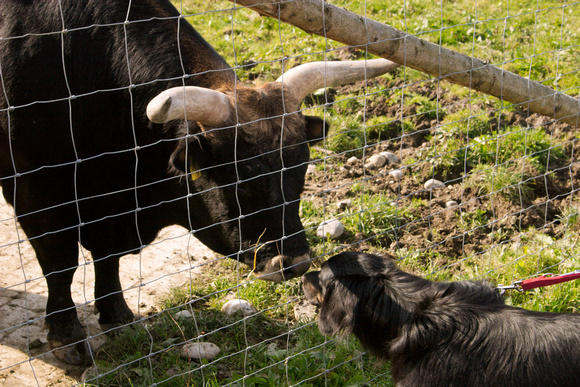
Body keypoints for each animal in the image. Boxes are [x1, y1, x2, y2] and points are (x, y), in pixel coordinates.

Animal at [0, 0, 398, 366]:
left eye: (301, 170)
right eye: (241, 179)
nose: (296, 262)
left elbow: (107, 259)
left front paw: (119, 317)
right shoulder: (37, 195)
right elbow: (60, 264)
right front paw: (67, 337)